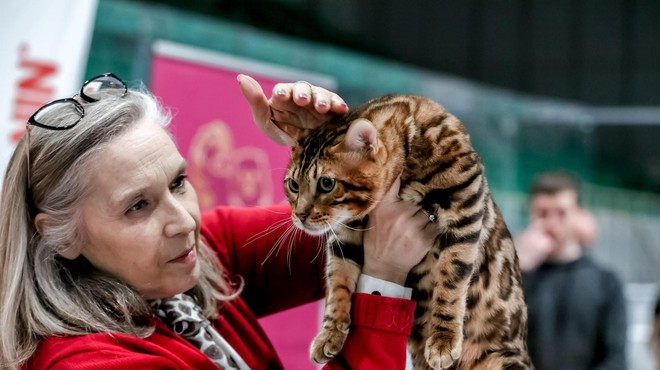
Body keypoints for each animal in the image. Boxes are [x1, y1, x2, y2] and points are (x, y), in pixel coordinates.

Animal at [282, 94, 532, 368]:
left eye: (327, 183)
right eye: (293, 184)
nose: (300, 216)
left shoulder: (465, 206)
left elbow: (451, 281)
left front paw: (443, 339)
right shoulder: (346, 235)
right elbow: (338, 282)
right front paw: (330, 333)